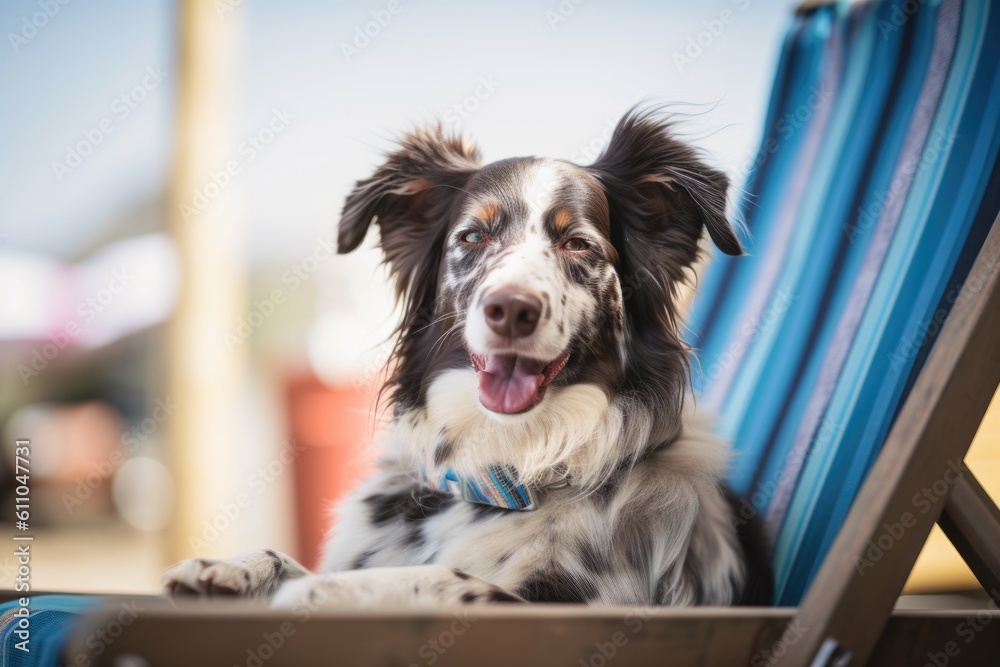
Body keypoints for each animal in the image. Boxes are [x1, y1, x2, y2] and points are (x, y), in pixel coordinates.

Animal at [162, 108, 772, 612]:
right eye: (473, 236)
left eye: (578, 244)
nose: (512, 309)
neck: (509, 467)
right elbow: (293, 559)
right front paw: (231, 569)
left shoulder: (580, 607)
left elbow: (440, 579)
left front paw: (325, 592)